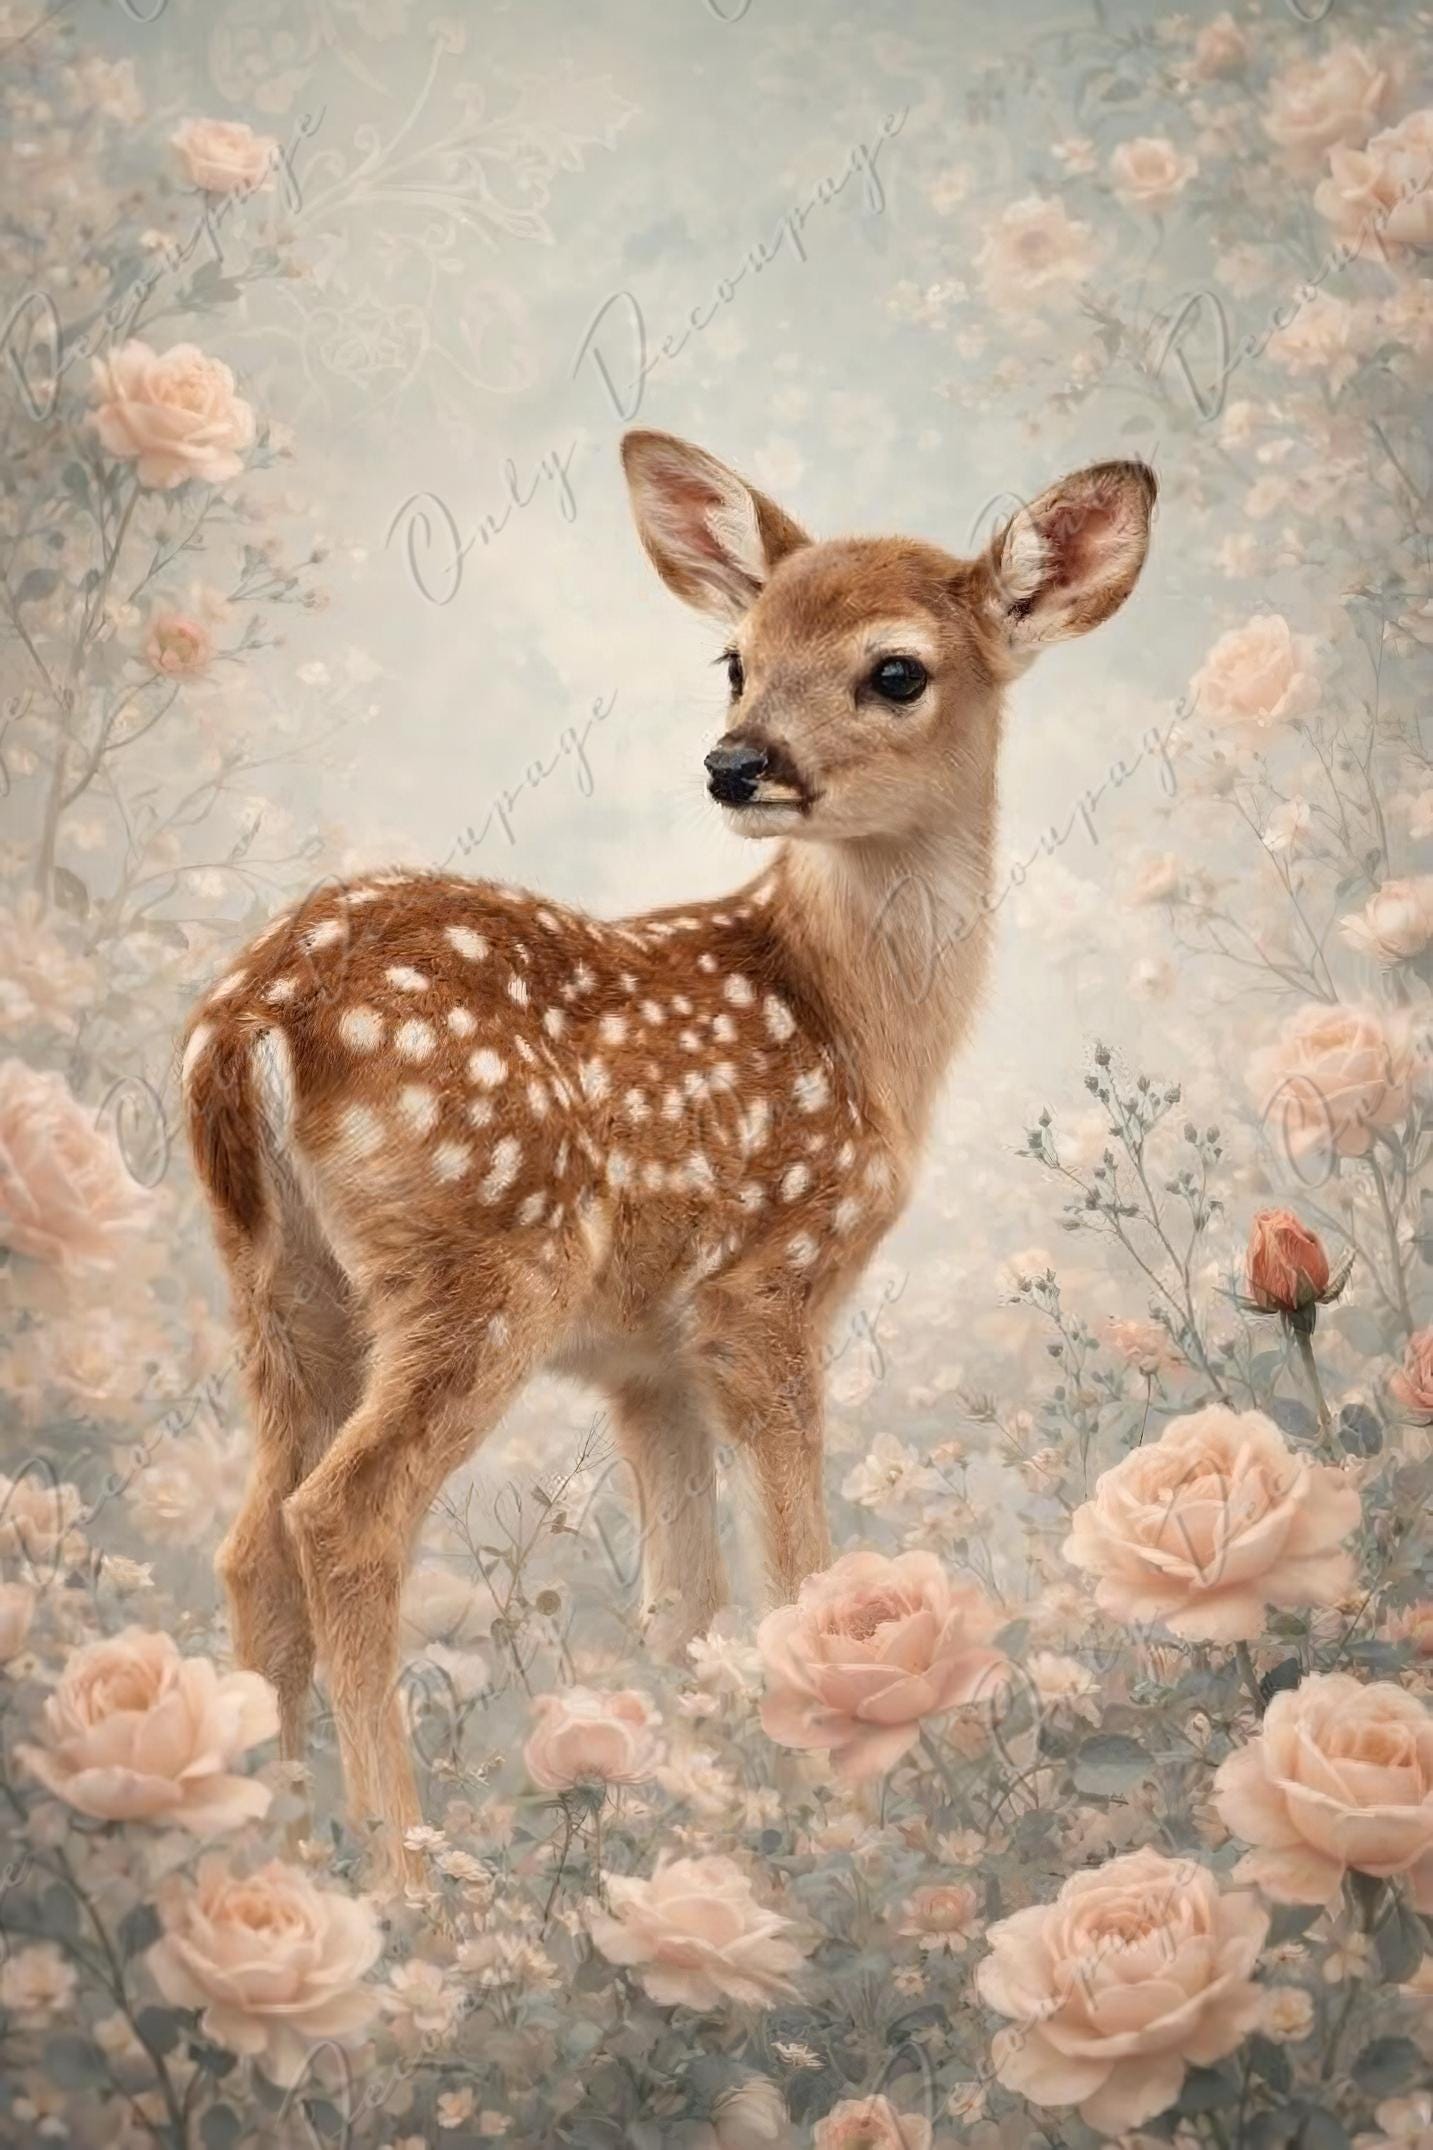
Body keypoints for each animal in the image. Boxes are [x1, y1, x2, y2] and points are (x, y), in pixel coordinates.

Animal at [182, 430, 1155, 1881]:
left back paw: (276, 1863)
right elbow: (799, 1574)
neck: (852, 1022)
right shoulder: (769, 1284)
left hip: (277, 1282)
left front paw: (704, 1820)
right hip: (481, 1260)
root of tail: (256, 1019)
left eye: (895, 669)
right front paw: (843, 1830)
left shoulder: (647, 1359)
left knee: (251, 1540)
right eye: (735, 658)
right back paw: (413, 1872)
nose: (735, 764)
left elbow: (684, 1602)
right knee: (339, 1518)